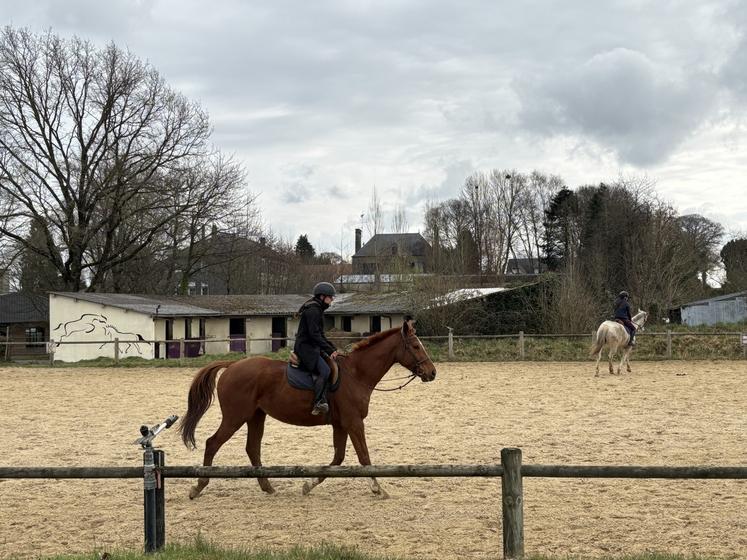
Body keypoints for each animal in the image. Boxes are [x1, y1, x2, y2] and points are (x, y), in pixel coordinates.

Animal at [181, 320, 436, 498]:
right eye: (415, 346)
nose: (432, 373)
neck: (356, 374)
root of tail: (233, 365)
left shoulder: (341, 424)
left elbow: (337, 459)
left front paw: (308, 485)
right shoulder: (354, 422)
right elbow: (363, 457)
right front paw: (378, 489)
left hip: (256, 416)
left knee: (252, 448)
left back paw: (267, 486)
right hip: (235, 417)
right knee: (213, 443)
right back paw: (198, 486)